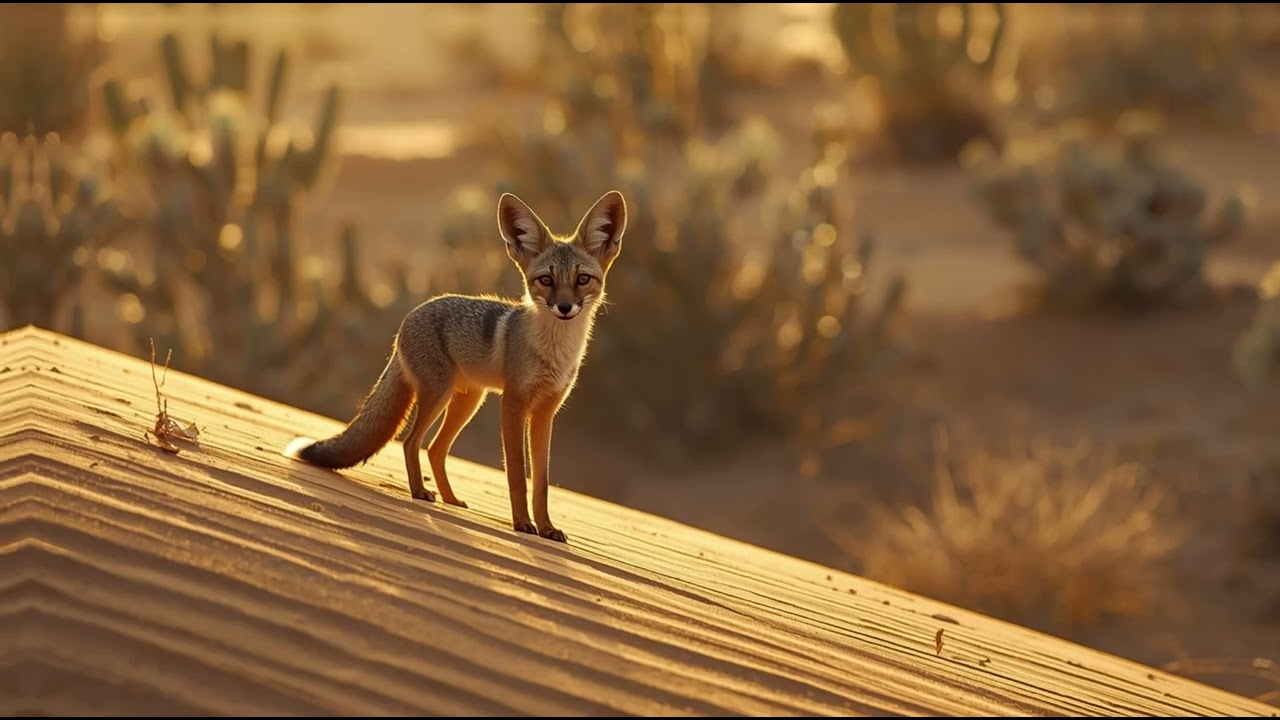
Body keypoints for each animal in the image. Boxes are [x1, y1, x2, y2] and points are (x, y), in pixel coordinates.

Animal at [284, 190, 628, 544]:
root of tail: (410, 317)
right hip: (439, 393)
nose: (564, 307)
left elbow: (541, 484)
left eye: (582, 279)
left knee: (435, 449)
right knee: (412, 442)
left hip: (468, 400)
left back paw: (450, 499)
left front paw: (546, 528)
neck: (553, 353)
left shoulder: (546, 411)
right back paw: (420, 493)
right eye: (545, 280)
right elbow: (517, 476)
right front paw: (522, 524)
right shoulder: (514, 403)